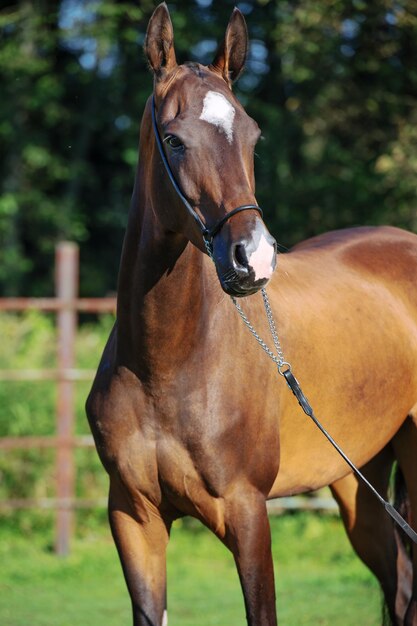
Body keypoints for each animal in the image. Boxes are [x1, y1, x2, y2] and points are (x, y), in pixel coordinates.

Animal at [86, 6, 416, 624]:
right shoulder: (134, 518)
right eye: (174, 140)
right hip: (359, 485)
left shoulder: (247, 514)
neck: (168, 365)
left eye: (253, 136)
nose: (254, 257)